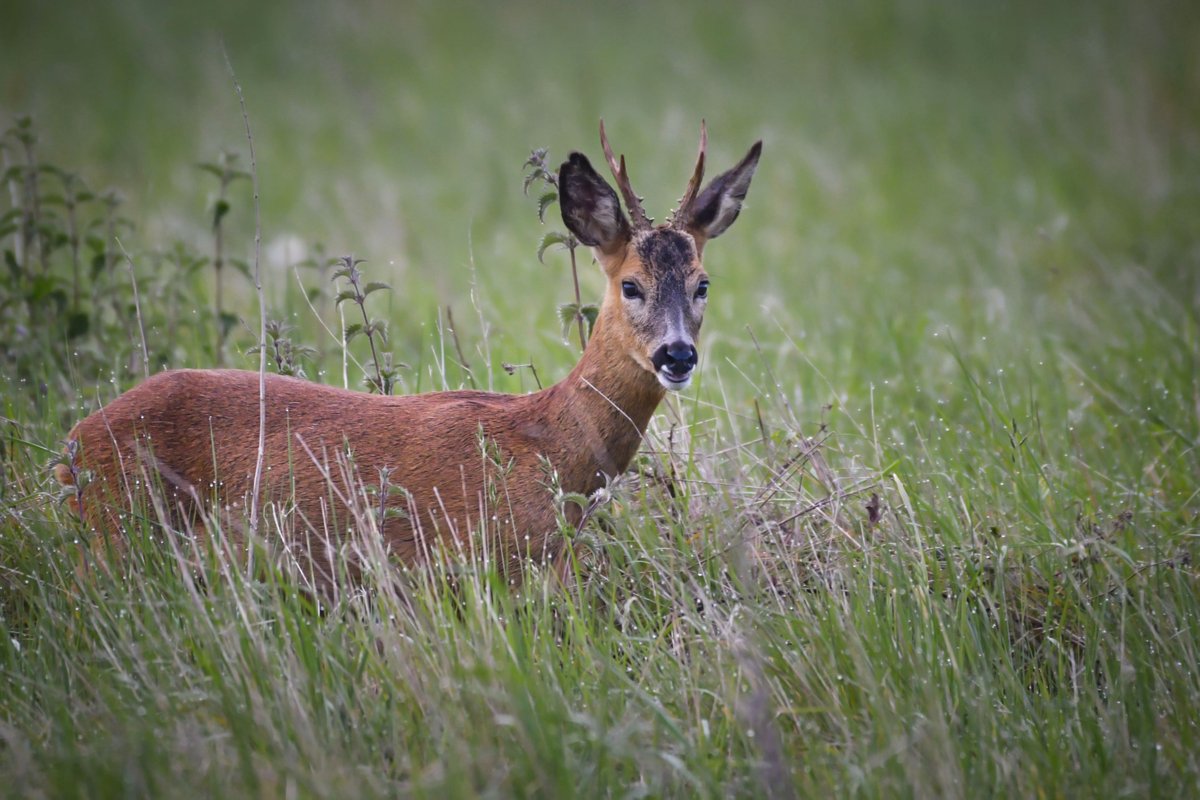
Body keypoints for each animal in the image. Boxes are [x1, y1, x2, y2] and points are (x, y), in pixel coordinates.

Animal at [54, 122, 762, 589]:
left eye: (702, 283)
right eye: (631, 285)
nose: (677, 355)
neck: (548, 446)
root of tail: (72, 445)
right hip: (115, 531)